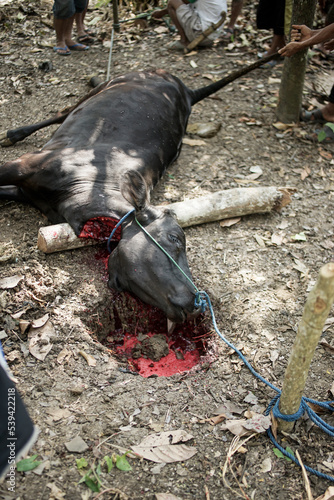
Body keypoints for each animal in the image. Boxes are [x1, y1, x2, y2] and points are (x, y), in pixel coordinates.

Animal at [0, 59, 276, 324]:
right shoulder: (27, 164)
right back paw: (12, 134)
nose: (196, 305)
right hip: (111, 83)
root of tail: (186, 91)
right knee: (62, 112)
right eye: (175, 238)